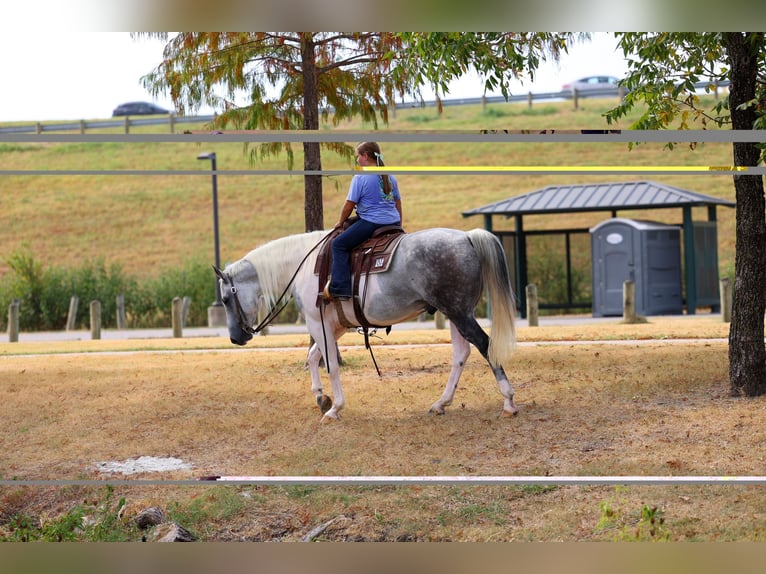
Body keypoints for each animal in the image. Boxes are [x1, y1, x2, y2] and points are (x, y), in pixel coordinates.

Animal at [213, 227, 519, 422]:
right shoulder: (333, 326)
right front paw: (320, 397)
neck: (305, 265)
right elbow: (313, 357)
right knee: (461, 354)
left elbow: (330, 365)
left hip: (459, 312)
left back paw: (508, 401)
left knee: (485, 345)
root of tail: (467, 237)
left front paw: (335, 408)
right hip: (455, 313)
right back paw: (441, 403)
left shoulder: (317, 323)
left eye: (226, 299)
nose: (235, 338)